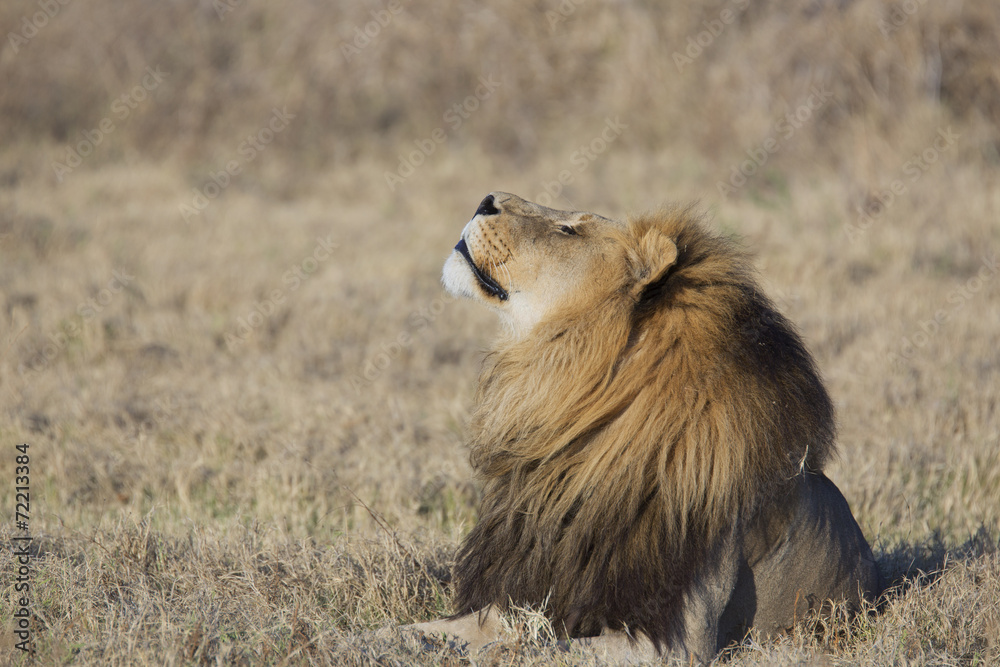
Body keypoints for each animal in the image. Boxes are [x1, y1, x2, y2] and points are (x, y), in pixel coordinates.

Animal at [408, 193, 881, 663]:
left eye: (569, 230)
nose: (488, 199)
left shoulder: (678, 639)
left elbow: (538, 647)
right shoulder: (523, 590)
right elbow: (446, 627)